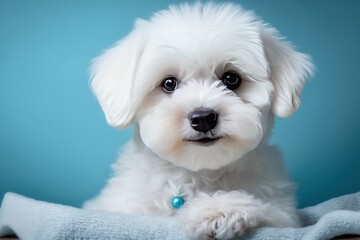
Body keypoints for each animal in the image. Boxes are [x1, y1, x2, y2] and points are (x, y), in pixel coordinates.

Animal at [83, 2, 312, 240]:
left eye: (231, 79)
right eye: (169, 83)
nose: (203, 118)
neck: (200, 171)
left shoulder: (284, 217)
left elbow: (268, 211)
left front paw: (218, 208)